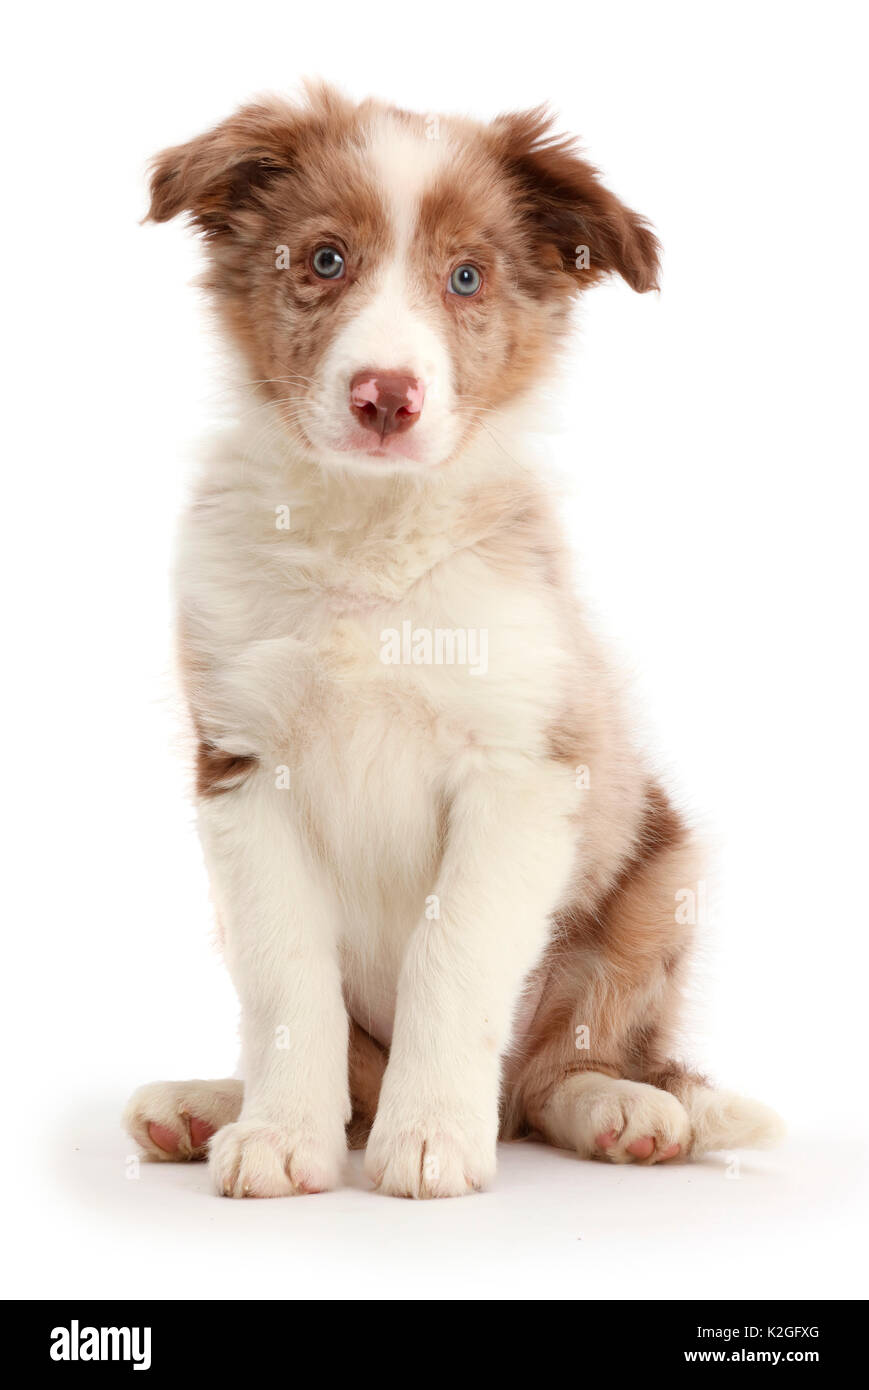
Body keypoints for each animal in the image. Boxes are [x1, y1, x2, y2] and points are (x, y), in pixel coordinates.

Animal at [122, 84, 778, 1195]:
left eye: (465, 278)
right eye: (323, 259)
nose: (385, 397)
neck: (371, 531)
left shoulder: (522, 772)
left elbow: (453, 954)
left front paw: (429, 1135)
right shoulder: (244, 771)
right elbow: (287, 976)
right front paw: (280, 1134)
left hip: (659, 878)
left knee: (552, 1074)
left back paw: (620, 1109)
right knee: (358, 1064)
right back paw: (209, 1104)